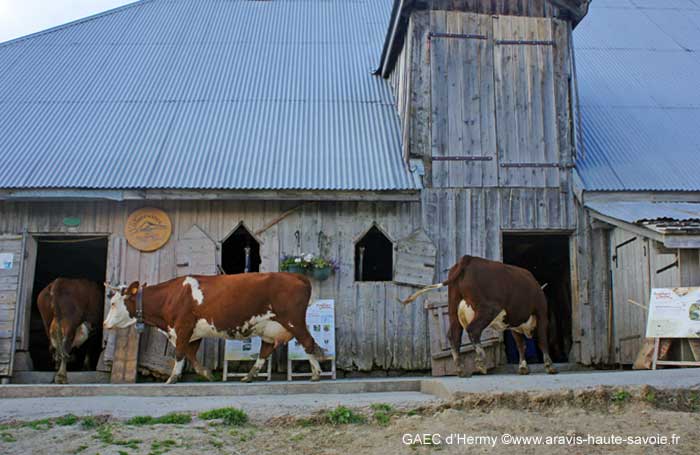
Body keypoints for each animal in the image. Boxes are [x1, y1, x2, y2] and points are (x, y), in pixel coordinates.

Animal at [103, 272, 324, 384]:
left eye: (113, 303)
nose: (105, 324)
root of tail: (296, 276)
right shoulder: (192, 332)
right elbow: (190, 354)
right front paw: (206, 374)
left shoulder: (182, 326)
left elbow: (180, 353)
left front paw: (172, 378)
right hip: (271, 327)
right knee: (265, 351)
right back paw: (248, 376)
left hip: (293, 320)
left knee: (308, 342)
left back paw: (316, 374)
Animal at [400, 255, 557, 377]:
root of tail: (468, 259)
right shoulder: (541, 314)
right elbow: (542, 340)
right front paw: (549, 365)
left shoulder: (514, 325)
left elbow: (521, 345)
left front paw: (523, 367)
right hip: (488, 309)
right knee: (473, 329)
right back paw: (480, 360)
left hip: (453, 309)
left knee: (454, 335)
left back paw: (461, 369)